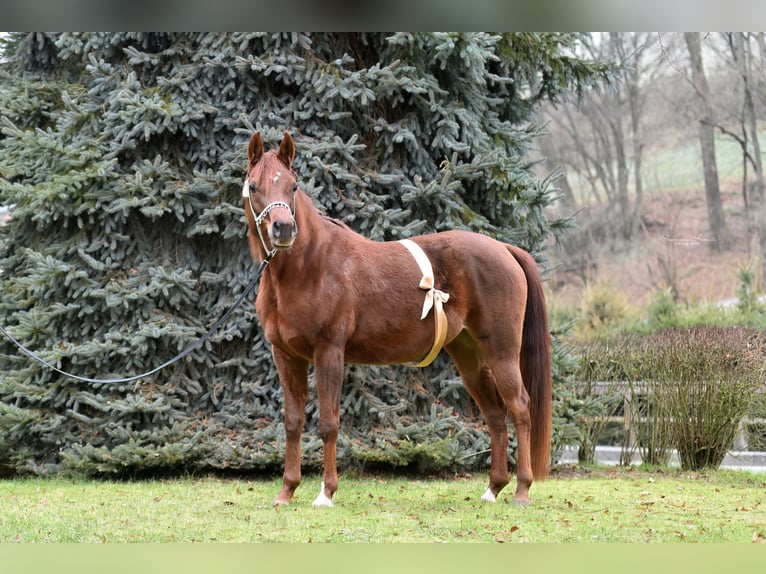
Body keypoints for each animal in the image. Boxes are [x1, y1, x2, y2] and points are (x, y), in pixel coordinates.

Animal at [243, 131, 552, 507]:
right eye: (254, 186)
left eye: (293, 186)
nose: (284, 229)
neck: (308, 268)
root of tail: (504, 249)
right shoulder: (286, 356)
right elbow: (293, 422)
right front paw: (286, 491)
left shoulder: (328, 352)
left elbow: (329, 423)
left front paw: (326, 493)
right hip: (469, 357)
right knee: (495, 414)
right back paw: (493, 488)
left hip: (502, 352)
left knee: (519, 408)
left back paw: (522, 489)